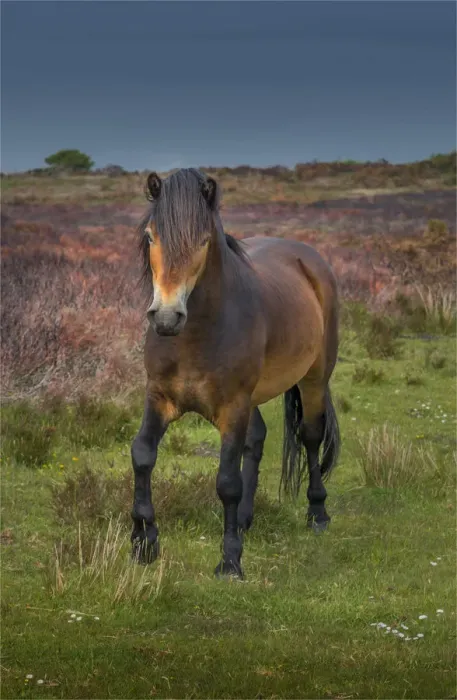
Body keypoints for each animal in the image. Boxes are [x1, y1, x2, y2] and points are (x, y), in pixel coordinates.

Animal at [131, 167, 340, 579]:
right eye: (150, 237)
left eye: (203, 240)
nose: (166, 317)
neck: (195, 335)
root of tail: (310, 259)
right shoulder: (159, 397)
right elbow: (142, 454)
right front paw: (143, 542)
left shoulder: (232, 407)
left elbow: (227, 481)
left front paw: (229, 562)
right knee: (256, 441)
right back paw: (244, 521)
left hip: (313, 379)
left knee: (309, 436)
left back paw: (318, 513)